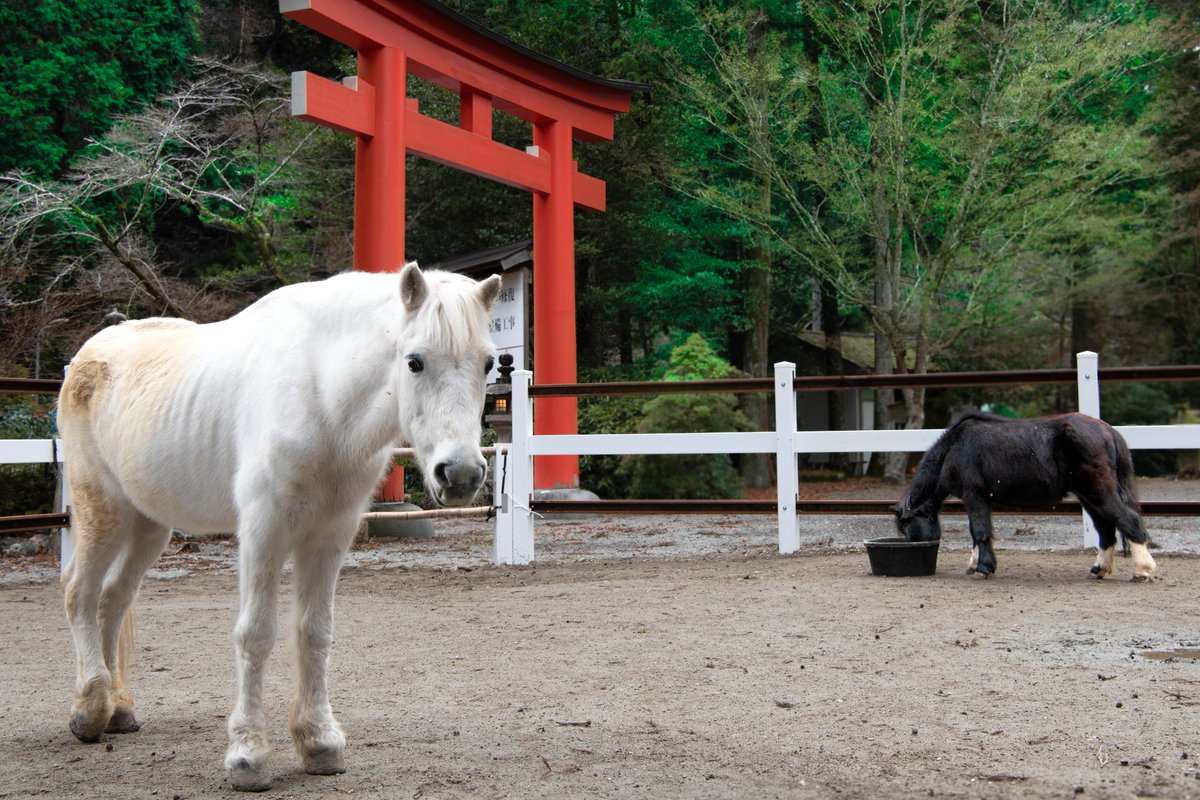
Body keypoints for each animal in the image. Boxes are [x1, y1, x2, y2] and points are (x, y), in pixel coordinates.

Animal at [57, 263, 501, 791]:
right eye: (414, 361)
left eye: (489, 364)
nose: (462, 475)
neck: (321, 392)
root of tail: (88, 353)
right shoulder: (263, 529)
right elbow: (256, 633)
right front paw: (247, 755)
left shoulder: (329, 534)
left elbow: (314, 631)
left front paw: (319, 743)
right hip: (102, 513)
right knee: (81, 595)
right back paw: (89, 709)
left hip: (148, 525)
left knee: (113, 600)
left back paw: (117, 709)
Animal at [892, 411, 1157, 581]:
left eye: (907, 528)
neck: (955, 447)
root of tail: (1108, 431)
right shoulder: (978, 500)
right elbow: (978, 534)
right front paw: (976, 564)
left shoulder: (974, 495)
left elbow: (980, 531)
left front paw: (983, 568)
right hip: (1088, 496)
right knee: (1106, 530)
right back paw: (1099, 569)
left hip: (1098, 492)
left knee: (1129, 520)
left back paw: (1141, 571)